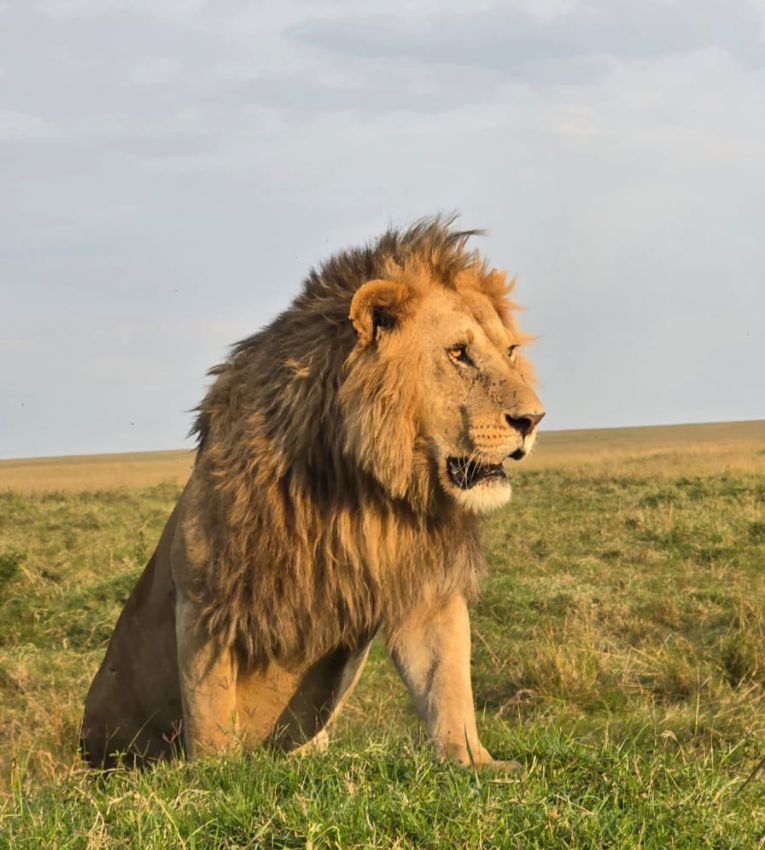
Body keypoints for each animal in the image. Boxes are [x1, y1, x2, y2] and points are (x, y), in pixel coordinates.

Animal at [80, 217, 544, 770]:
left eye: (510, 352)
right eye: (459, 353)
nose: (534, 419)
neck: (360, 484)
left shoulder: (425, 586)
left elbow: (448, 683)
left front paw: (476, 762)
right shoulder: (205, 596)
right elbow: (209, 712)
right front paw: (215, 776)